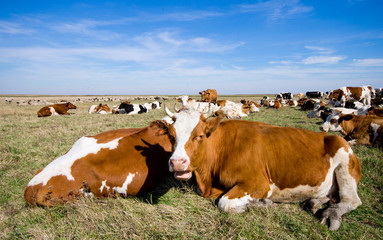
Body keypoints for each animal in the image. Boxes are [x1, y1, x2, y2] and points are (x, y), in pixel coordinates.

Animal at [153, 107, 364, 231]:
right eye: (171, 136)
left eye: (200, 136)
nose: (177, 162)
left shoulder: (259, 184)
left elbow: (225, 203)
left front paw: (262, 204)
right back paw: (315, 202)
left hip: (345, 161)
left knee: (352, 200)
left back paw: (332, 214)